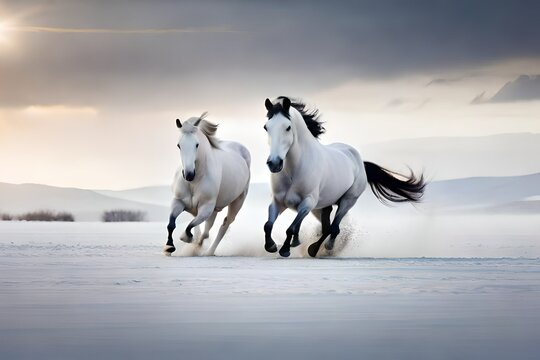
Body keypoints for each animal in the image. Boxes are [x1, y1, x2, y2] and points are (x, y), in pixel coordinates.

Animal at [165, 112, 251, 256]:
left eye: (197, 144)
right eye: (178, 145)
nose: (189, 174)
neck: (195, 181)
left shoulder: (206, 207)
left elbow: (190, 226)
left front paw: (186, 238)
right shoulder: (178, 201)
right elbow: (171, 223)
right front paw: (169, 247)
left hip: (237, 202)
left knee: (224, 226)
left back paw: (208, 251)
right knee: (206, 230)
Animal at [262, 97, 426, 258]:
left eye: (288, 127)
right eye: (266, 127)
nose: (274, 163)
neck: (294, 170)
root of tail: (360, 161)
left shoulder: (307, 203)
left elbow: (290, 228)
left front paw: (284, 249)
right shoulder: (278, 202)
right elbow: (268, 225)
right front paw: (271, 246)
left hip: (347, 201)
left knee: (334, 228)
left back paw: (319, 249)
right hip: (322, 206)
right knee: (327, 226)